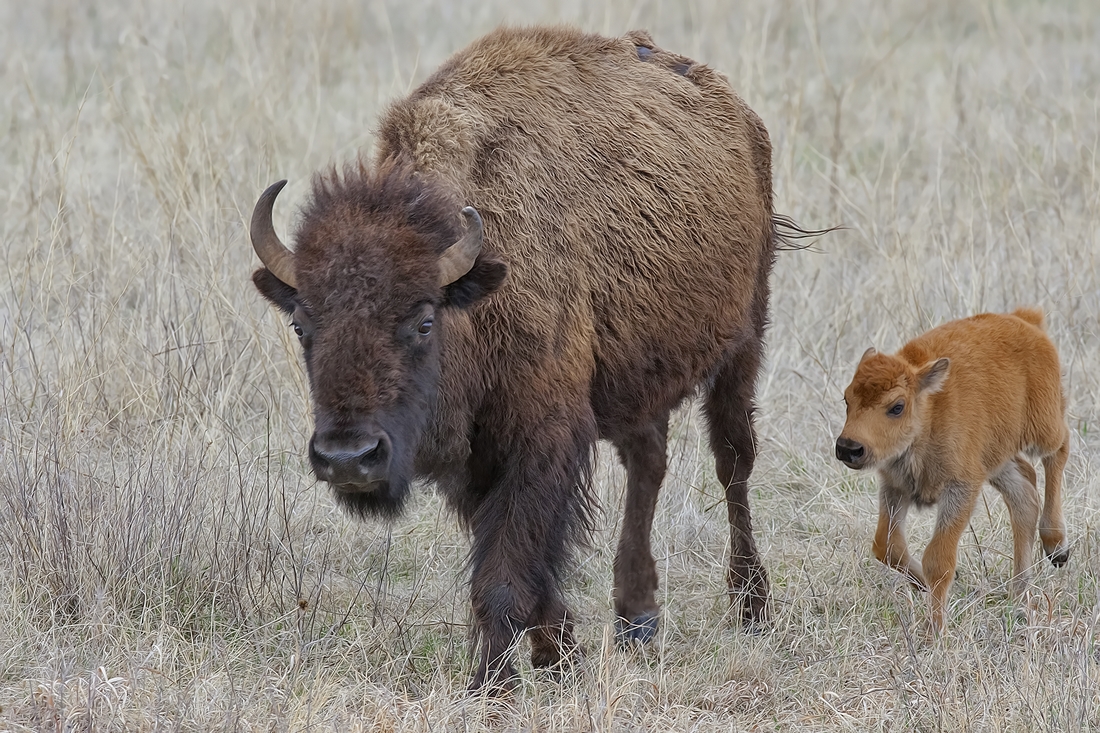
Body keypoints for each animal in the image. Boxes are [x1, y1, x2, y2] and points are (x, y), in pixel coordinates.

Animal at [251, 27, 792, 691]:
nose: (348, 459)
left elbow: (504, 574)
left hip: (743, 342)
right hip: (635, 377)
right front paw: (560, 656)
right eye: (301, 324)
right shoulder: (474, 461)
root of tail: (738, 112)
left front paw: (495, 683)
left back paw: (752, 606)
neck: (480, 289)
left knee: (733, 463)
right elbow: (522, 566)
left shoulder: (542, 438)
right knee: (649, 462)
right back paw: (637, 619)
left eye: (424, 320)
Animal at [831, 305, 1064, 629]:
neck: (928, 414)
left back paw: (1056, 545)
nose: (848, 448)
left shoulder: (960, 488)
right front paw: (922, 587)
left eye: (897, 407)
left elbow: (938, 560)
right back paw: (1019, 594)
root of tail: (1025, 320)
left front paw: (935, 629)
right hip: (995, 460)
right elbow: (887, 546)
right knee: (1024, 496)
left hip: (1043, 428)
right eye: (847, 399)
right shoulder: (895, 487)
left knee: (1059, 450)